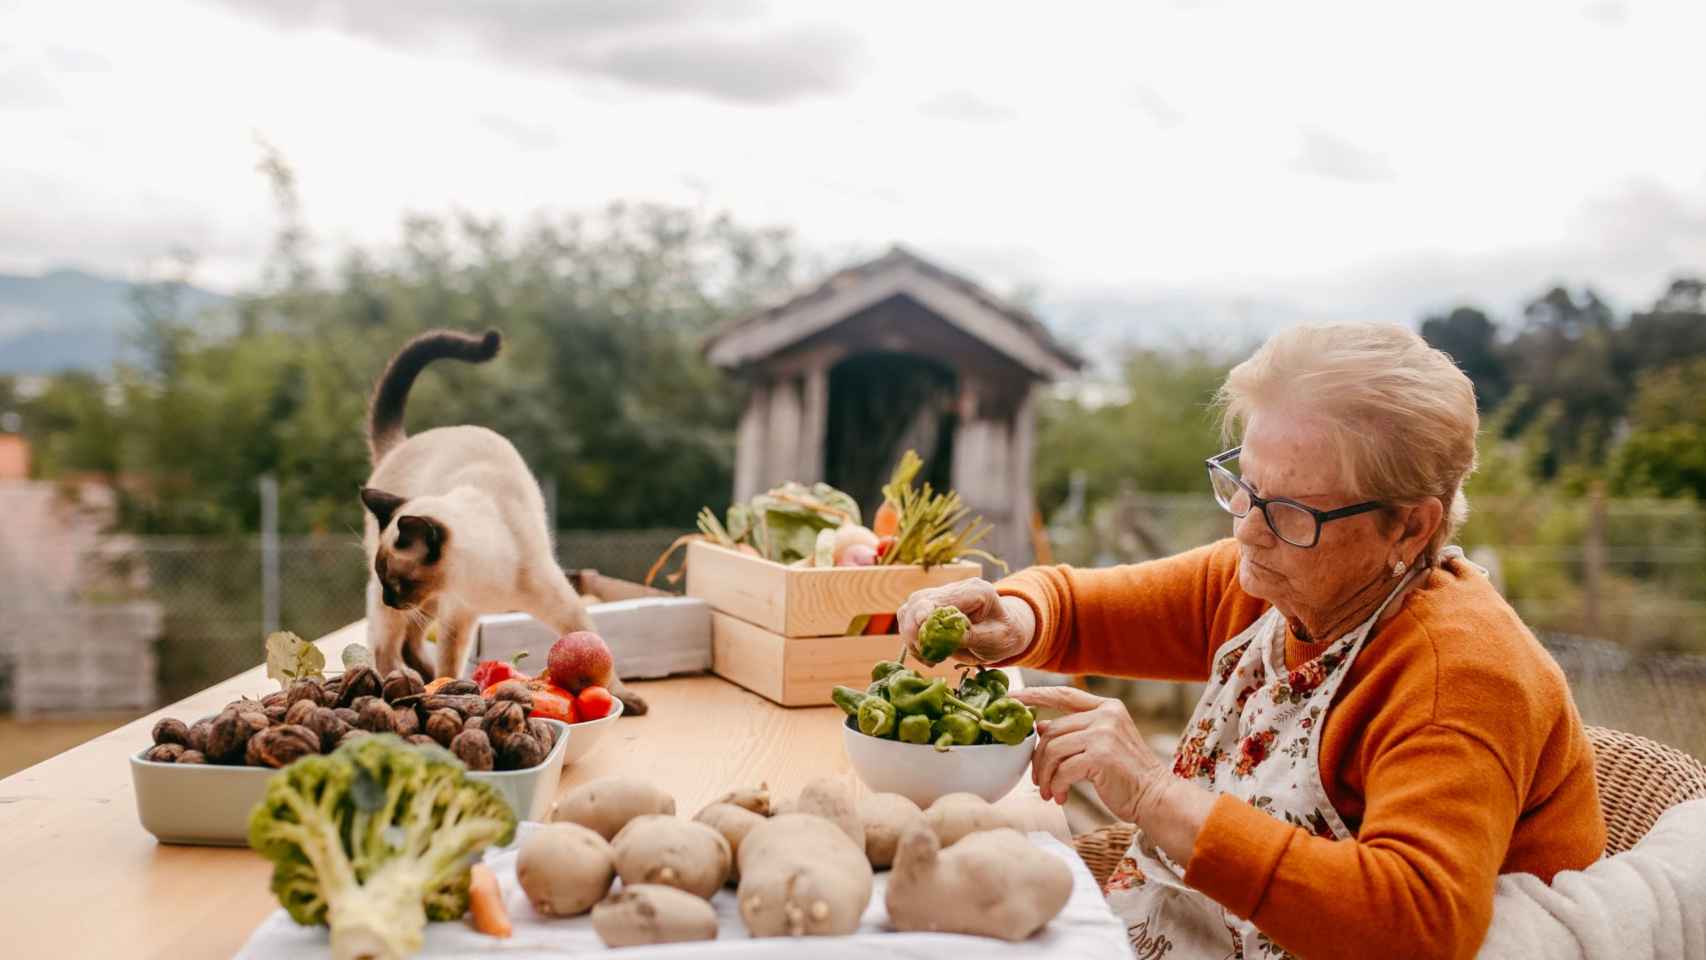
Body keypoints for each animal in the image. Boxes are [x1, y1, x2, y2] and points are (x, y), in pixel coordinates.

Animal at [359, 329, 644, 712]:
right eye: (387, 578)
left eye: (399, 582)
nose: (391, 597)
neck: (480, 585)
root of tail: (403, 443)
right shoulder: (457, 616)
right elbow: (450, 666)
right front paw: (445, 688)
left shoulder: (557, 606)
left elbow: (598, 654)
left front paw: (625, 700)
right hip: (415, 607)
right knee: (388, 648)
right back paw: (407, 679)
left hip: (425, 604)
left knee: (409, 641)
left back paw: (421, 673)